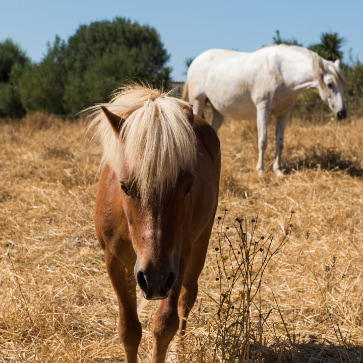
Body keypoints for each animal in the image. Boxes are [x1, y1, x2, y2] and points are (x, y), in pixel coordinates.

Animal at [88, 86, 220, 363]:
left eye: (187, 186)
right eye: (124, 186)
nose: (154, 278)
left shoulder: (177, 260)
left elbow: (164, 325)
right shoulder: (113, 261)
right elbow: (128, 330)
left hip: (199, 245)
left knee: (186, 298)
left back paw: (181, 349)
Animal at [185, 44, 346, 176]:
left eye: (342, 84)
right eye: (330, 84)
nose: (342, 113)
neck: (282, 73)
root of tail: (195, 61)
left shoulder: (284, 113)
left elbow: (279, 142)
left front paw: (277, 170)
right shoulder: (263, 109)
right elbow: (263, 141)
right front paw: (260, 170)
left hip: (218, 112)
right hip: (198, 101)